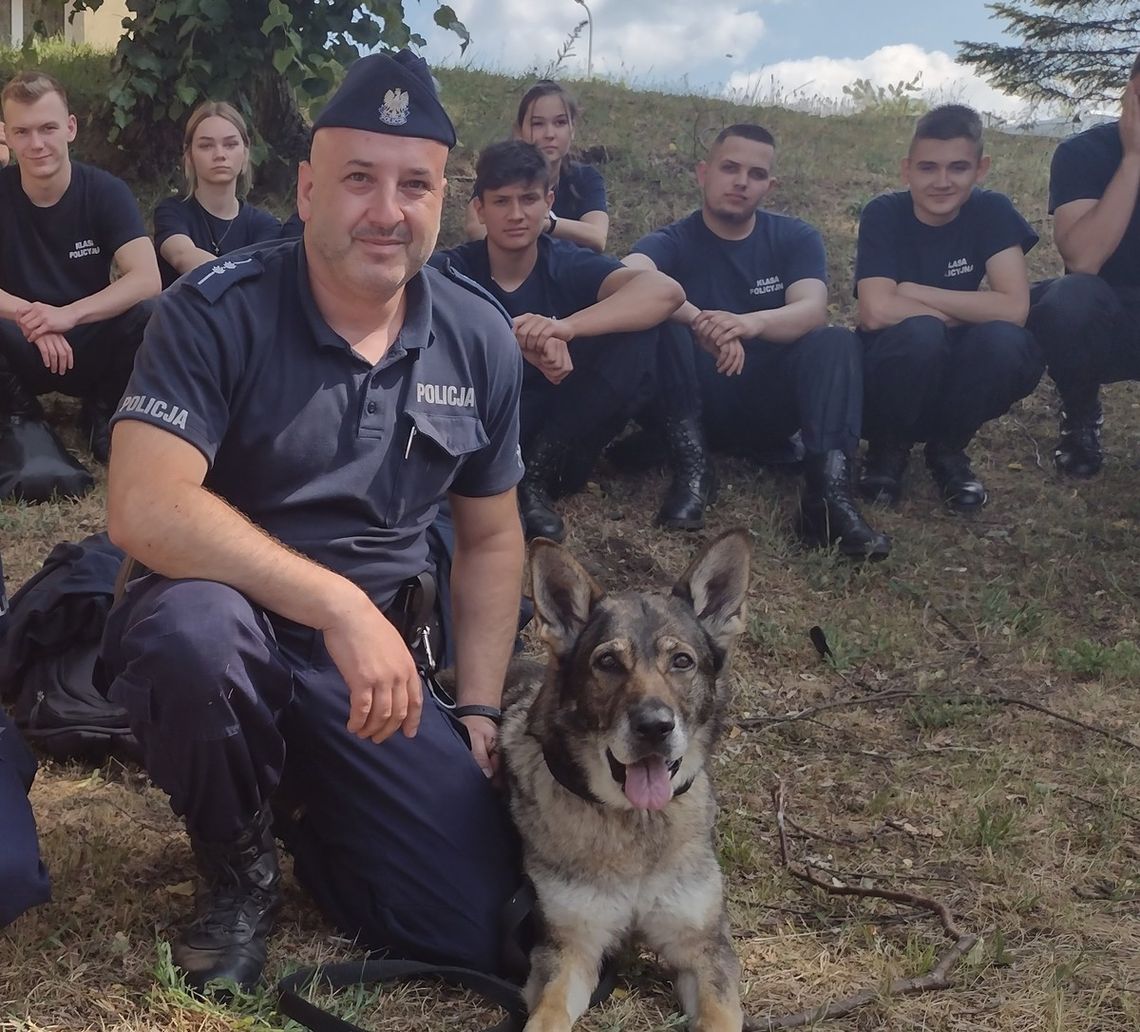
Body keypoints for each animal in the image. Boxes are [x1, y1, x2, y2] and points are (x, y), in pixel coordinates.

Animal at [497, 526, 747, 1026]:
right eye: (608, 663)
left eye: (682, 662)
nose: (654, 727)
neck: (635, 822)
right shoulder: (569, 952)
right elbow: (547, 1015)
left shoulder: (706, 951)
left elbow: (719, 1017)